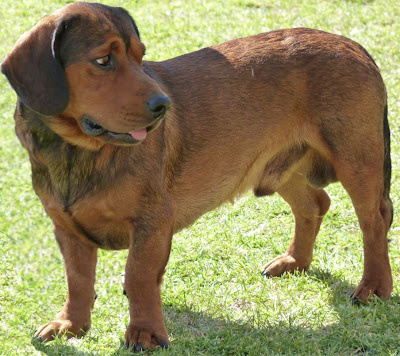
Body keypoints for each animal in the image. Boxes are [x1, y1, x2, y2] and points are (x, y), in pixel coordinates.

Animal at [0, 1, 394, 352]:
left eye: (140, 57)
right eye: (102, 60)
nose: (163, 106)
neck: (78, 151)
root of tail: (352, 45)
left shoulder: (153, 222)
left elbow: (138, 277)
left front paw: (145, 334)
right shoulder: (67, 228)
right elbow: (78, 281)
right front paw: (71, 326)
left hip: (357, 160)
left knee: (374, 221)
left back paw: (374, 287)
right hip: (282, 167)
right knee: (314, 204)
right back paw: (295, 261)